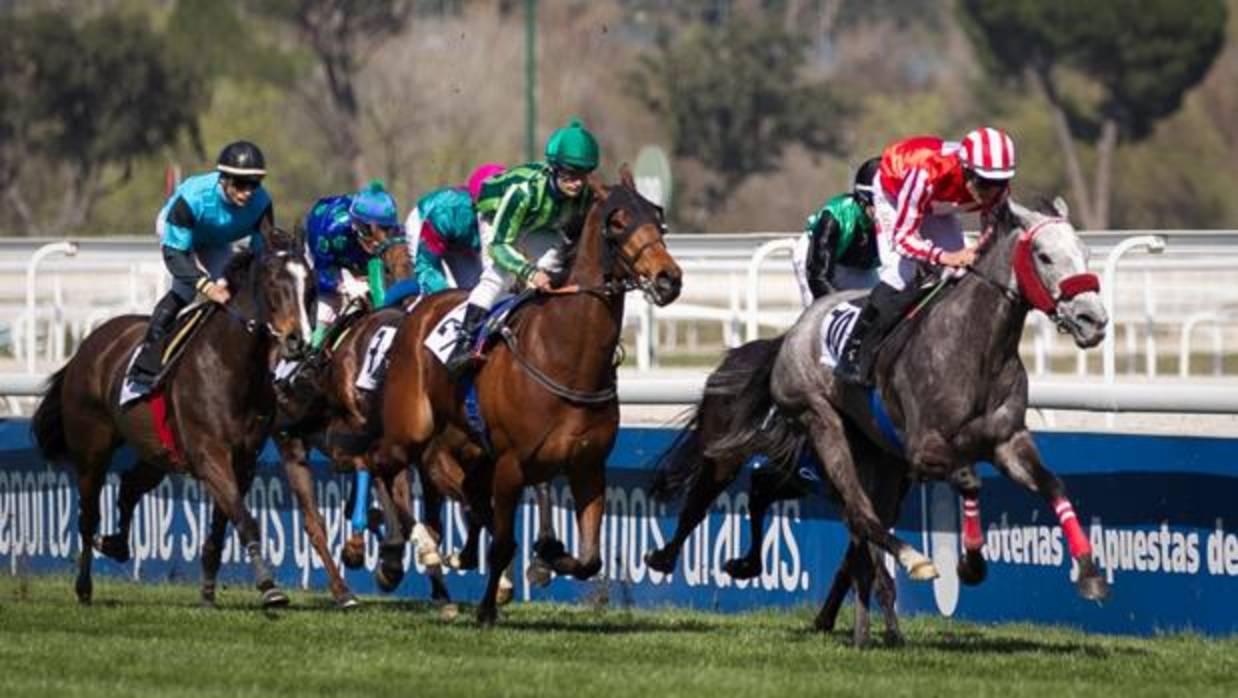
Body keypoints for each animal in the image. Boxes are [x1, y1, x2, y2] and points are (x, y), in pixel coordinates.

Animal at [31, 228, 311, 606]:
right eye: (272, 281)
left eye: (309, 281)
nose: (299, 341)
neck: (231, 364)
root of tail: (88, 345)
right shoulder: (210, 454)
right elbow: (245, 518)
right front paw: (270, 587)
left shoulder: (244, 460)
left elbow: (224, 524)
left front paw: (208, 591)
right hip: (91, 449)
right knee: (88, 516)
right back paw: (85, 586)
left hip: (156, 452)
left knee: (130, 486)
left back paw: (116, 544)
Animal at [376, 170, 688, 626]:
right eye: (617, 223)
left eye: (658, 217)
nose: (668, 278)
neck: (566, 356)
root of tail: (420, 307)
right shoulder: (511, 464)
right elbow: (505, 542)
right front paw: (487, 609)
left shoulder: (588, 466)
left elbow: (590, 558)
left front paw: (549, 554)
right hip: (410, 428)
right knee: (383, 467)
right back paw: (405, 553)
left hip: (467, 445)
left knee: (454, 484)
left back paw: (456, 554)